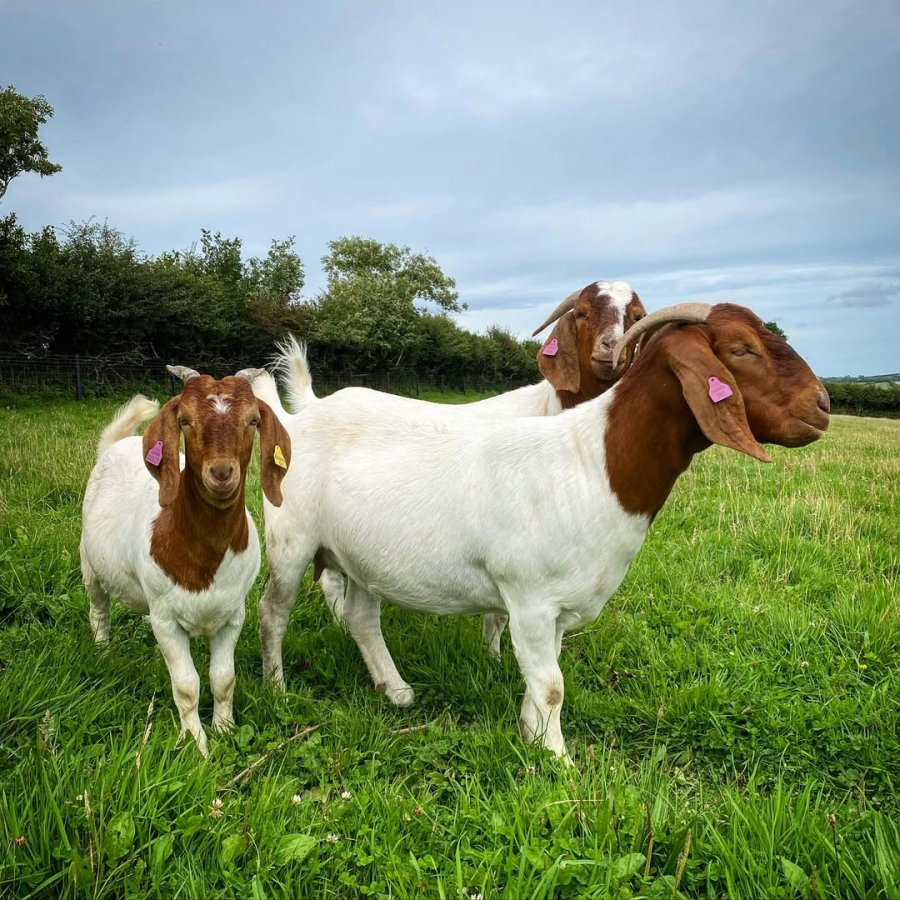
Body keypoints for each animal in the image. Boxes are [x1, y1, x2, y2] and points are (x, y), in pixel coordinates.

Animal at [80, 367, 291, 755]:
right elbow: (187, 686)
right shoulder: (164, 620)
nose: (221, 473)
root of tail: (117, 444)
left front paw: (224, 729)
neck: (203, 557)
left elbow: (223, 679)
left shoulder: (232, 616)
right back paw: (103, 652)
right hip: (90, 564)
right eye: (185, 421)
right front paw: (196, 743)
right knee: (98, 609)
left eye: (253, 420)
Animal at [252, 280, 646, 654]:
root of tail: (309, 409)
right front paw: (493, 656)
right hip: (293, 531)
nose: (609, 349)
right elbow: (502, 614)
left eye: (637, 317)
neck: (555, 413)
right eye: (581, 313)